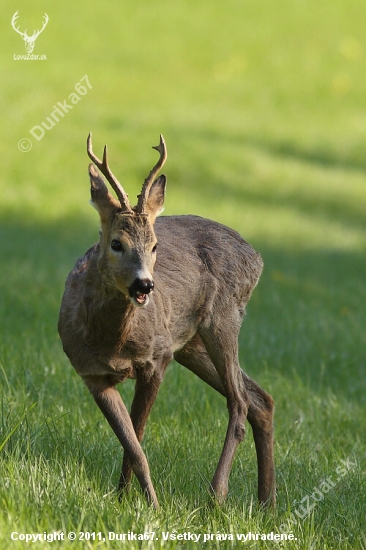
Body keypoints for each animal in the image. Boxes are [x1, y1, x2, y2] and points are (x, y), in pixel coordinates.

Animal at [58, 134, 274, 508]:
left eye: (155, 246)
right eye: (116, 243)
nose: (145, 285)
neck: (112, 341)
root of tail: (256, 257)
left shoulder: (156, 359)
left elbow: (138, 435)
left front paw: (149, 504)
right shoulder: (91, 373)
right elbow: (131, 442)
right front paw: (124, 497)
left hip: (223, 320)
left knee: (240, 402)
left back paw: (217, 494)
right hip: (191, 344)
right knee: (261, 399)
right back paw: (267, 505)